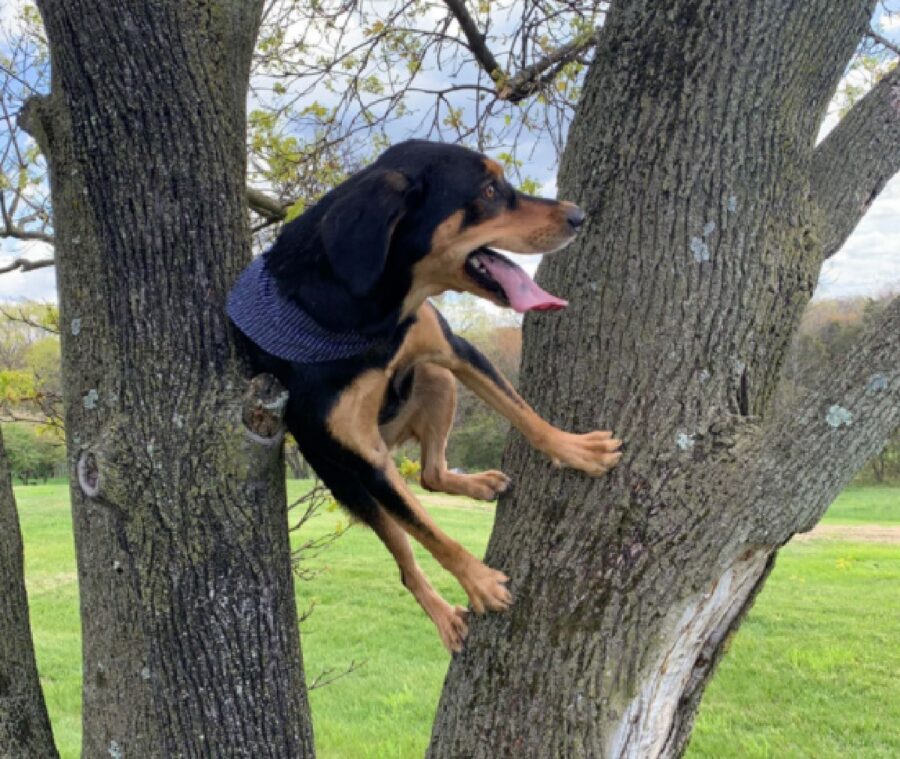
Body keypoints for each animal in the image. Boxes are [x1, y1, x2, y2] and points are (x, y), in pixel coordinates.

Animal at [227, 140, 620, 652]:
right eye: (489, 190)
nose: (577, 215)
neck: (372, 316)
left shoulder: (456, 350)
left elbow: (523, 413)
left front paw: (576, 449)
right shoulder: (364, 457)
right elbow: (431, 535)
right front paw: (479, 581)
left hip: (434, 378)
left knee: (432, 474)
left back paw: (479, 483)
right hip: (354, 486)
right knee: (407, 557)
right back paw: (444, 614)